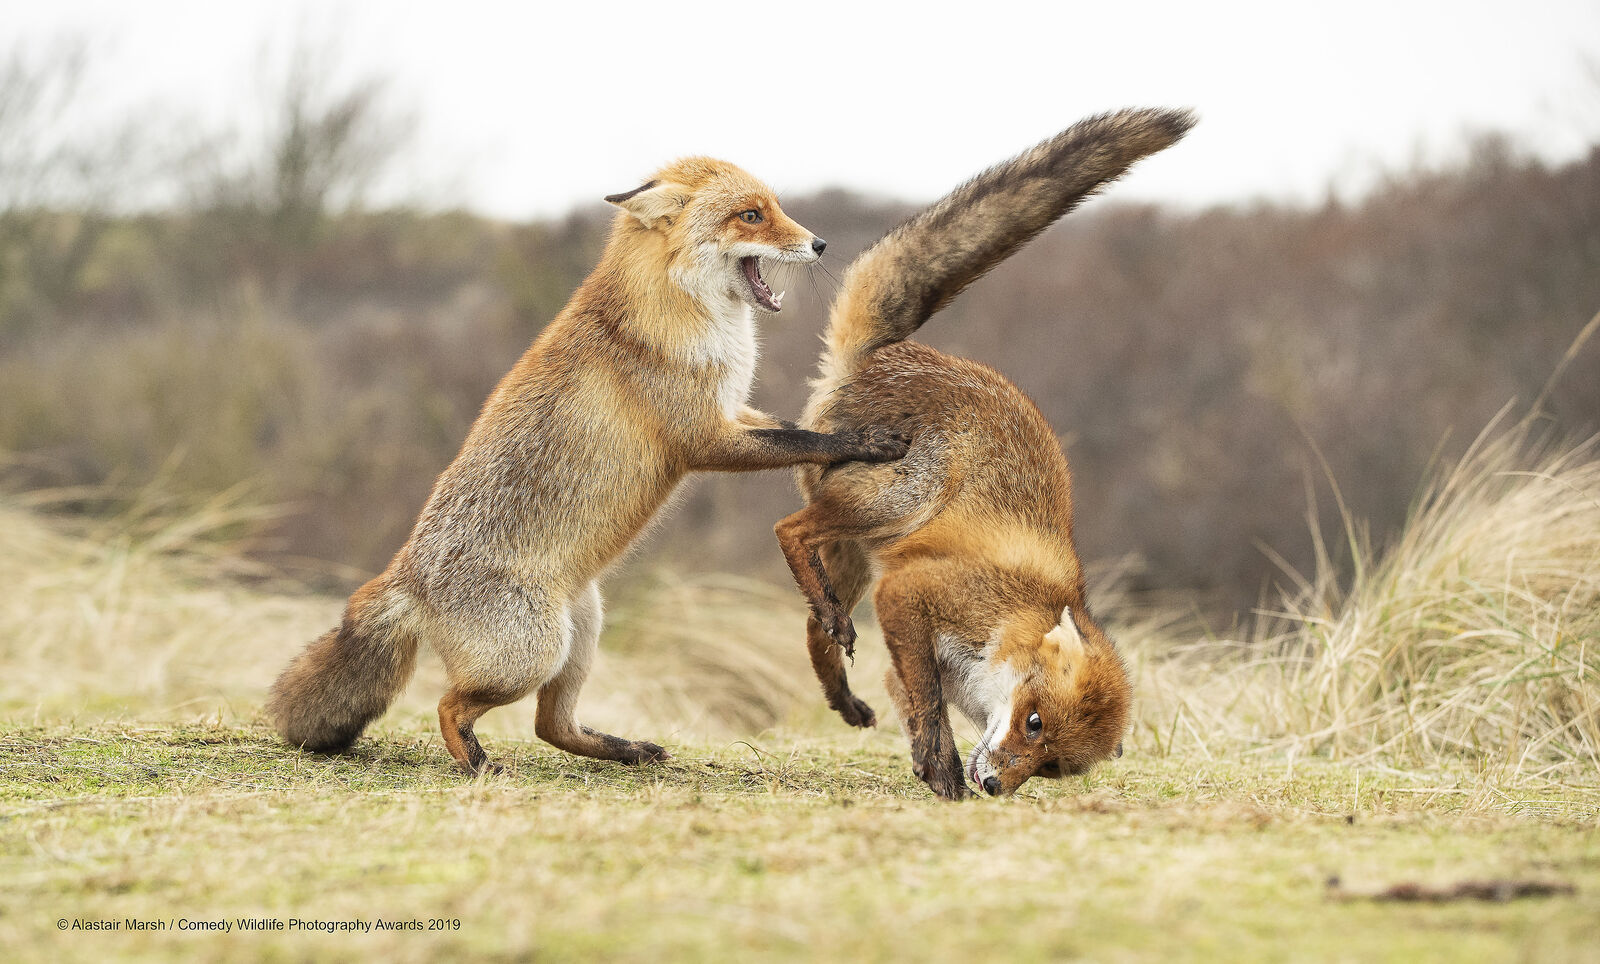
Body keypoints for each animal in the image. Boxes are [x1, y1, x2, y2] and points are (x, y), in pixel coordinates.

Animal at [267, 157, 908, 771]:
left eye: (775, 207)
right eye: (751, 216)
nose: (820, 244)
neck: (684, 315)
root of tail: (406, 575)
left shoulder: (732, 412)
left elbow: (793, 428)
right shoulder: (704, 438)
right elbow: (807, 440)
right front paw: (867, 441)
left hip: (583, 630)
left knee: (550, 726)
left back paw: (628, 751)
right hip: (531, 654)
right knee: (449, 706)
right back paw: (476, 762)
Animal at [774, 107, 1203, 794]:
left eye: (1050, 765)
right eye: (1033, 722)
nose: (996, 786)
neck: (1013, 621)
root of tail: (885, 354)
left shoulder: (903, 640)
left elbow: (907, 693)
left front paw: (930, 766)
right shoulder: (912, 594)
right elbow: (927, 699)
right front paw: (945, 766)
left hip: (856, 555)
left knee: (816, 624)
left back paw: (842, 693)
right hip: (895, 502)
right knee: (788, 530)